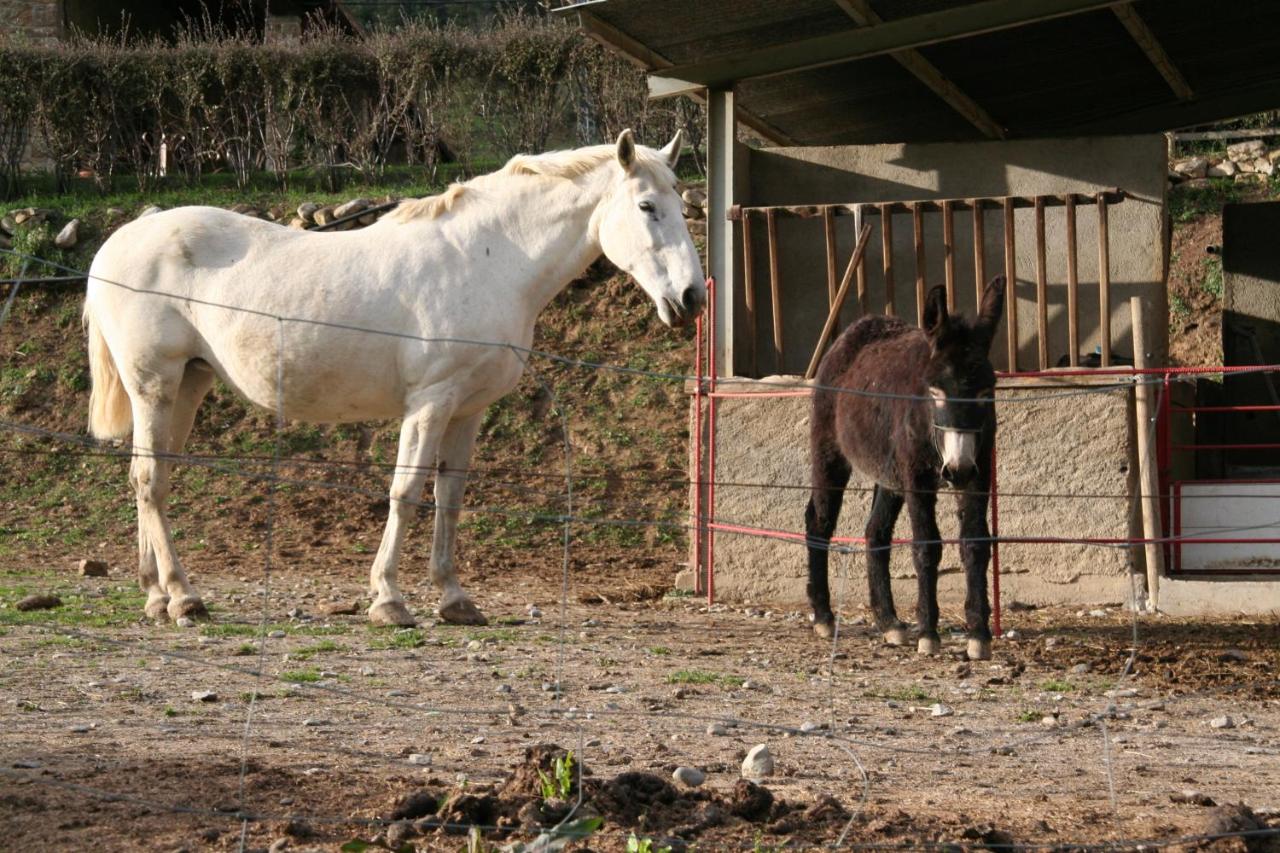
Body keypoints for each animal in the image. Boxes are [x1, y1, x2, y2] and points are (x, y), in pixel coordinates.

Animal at [82, 128, 701, 625]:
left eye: (680, 204)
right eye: (647, 205)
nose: (692, 297)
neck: (488, 259)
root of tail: (117, 243)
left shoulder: (468, 410)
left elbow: (450, 497)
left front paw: (455, 600)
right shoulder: (430, 403)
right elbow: (405, 493)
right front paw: (389, 600)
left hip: (188, 385)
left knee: (148, 477)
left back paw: (156, 594)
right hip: (154, 385)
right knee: (150, 481)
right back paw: (184, 598)